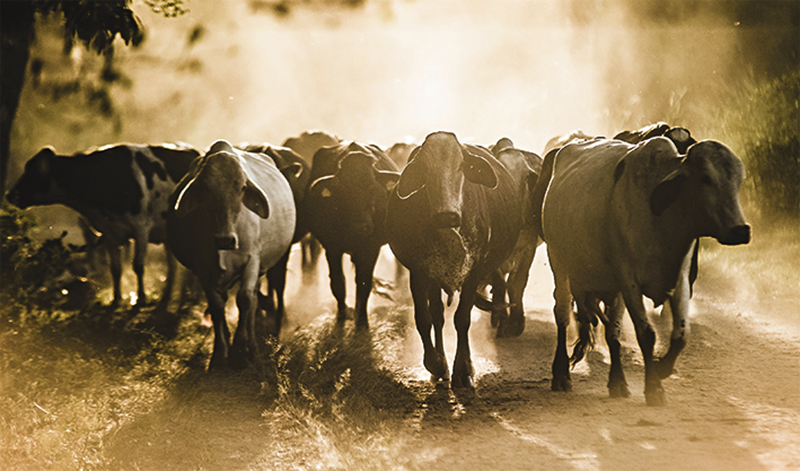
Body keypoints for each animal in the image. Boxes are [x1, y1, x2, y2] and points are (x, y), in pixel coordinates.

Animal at [7, 142, 200, 308]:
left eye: (33, 171)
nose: (10, 194)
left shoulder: (141, 227)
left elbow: (138, 266)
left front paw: (141, 299)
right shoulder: (108, 232)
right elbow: (115, 268)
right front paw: (116, 300)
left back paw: (189, 296)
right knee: (172, 264)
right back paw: (168, 296)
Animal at [167, 140, 296, 368]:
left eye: (242, 187)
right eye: (206, 189)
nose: (225, 240)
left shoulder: (252, 260)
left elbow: (245, 299)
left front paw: (241, 348)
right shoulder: (203, 268)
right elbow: (217, 306)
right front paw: (220, 351)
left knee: (252, 300)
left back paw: (249, 344)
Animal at [386, 131, 520, 390]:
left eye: (461, 167)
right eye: (425, 169)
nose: (446, 215)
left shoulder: (473, 273)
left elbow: (462, 319)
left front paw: (462, 370)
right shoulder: (419, 272)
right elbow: (424, 319)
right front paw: (436, 363)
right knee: (437, 316)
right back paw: (441, 367)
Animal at [536, 136, 752, 406]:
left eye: (739, 180)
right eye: (705, 178)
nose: (740, 230)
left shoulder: (679, 280)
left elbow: (681, 335)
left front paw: (661, 369)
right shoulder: (629, 280)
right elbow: (646, 334)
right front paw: (654, 388)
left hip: (610, 287)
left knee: (613, 331)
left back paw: (618, 382)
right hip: (560, 263)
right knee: (563, 315)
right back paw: (561, 374)